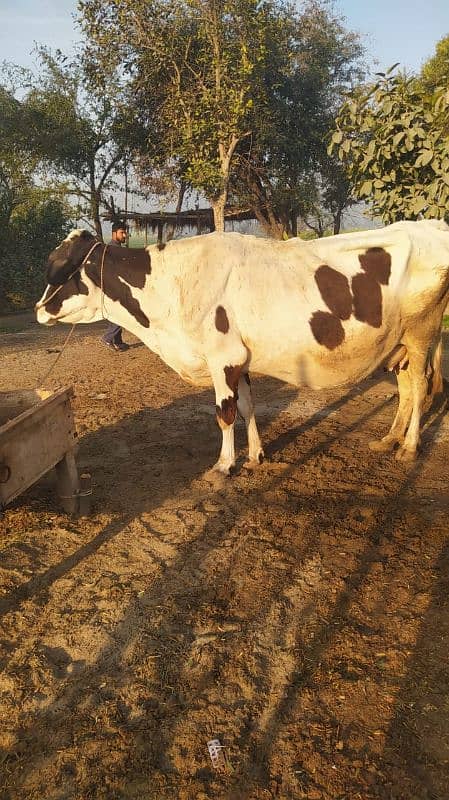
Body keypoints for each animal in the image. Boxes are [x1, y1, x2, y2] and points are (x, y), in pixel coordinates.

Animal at [36, 219, 448, 476]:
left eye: (60, 270)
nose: (39, 309)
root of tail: (431, 225)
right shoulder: (241, 360)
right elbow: (248, 407)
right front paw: (255, 456)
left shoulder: (223, 358)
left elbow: (225, 413)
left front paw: (224, 464)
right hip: (400, 344)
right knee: (407, 389)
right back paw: (389, 439)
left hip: (421, 334)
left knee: (421, 387)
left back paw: (409, 447)